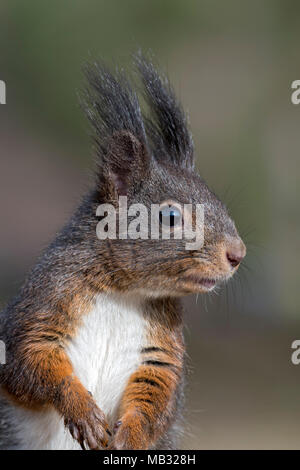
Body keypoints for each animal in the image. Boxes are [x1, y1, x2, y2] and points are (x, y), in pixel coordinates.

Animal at [0, 53, 246, 450]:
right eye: (170, 216)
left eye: (220, 203)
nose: (238, 254)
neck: (123, 291)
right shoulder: (44, 304)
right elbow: (32, 360)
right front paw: (82, 410)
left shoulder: (159, 354)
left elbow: (155, 396)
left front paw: (131, 436)